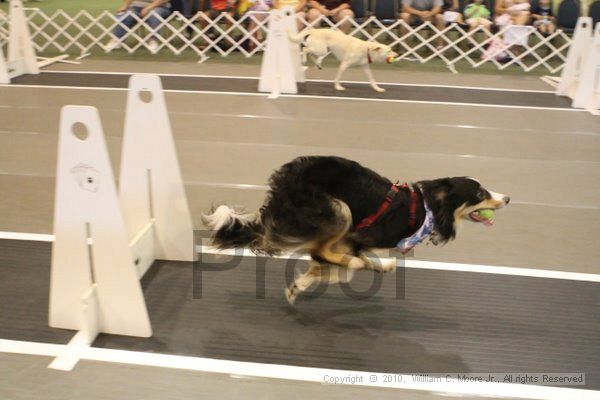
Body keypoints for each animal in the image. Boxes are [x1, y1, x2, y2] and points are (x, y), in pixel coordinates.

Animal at [204, 155, 508, 304]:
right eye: (480, 193)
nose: (507, 198)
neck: (429, 210)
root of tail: (282, 185)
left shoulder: (354, 241)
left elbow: (332, 267)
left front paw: (299, 286)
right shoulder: (354, 236)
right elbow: (337, 264)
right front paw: (348, 267)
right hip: (339, 209)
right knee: (321, 249)